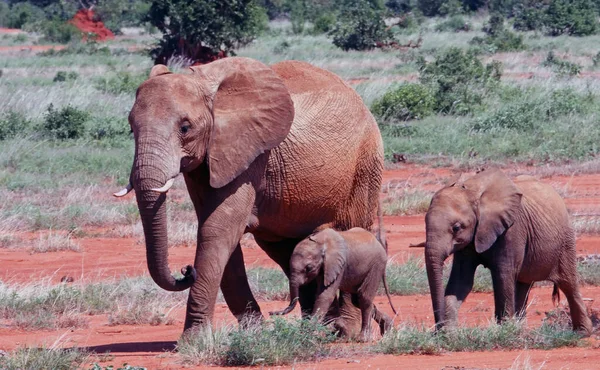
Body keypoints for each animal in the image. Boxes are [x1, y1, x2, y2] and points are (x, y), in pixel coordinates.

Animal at [113, 57, 384, 336]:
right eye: (131, 127)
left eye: (185, 128)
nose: (187, 270)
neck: (205, 84)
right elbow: (218, 232)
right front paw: (255, 332)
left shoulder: (251, 155)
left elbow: (217, 229)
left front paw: (193, 340)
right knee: (286, 250)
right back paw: (317, 328)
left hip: (364, 166)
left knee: (353, 230)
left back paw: (344, 330)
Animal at [424, 169, 592, 334]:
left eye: (457, 228)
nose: (436, 330)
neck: (474, 193)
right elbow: (461, 280)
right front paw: (449, 333)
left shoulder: (512, 230)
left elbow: (503, 275)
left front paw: (504, 330)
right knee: (523, 285)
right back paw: (521, 329)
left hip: (566, 241)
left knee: (568, 283)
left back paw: (582, 332)